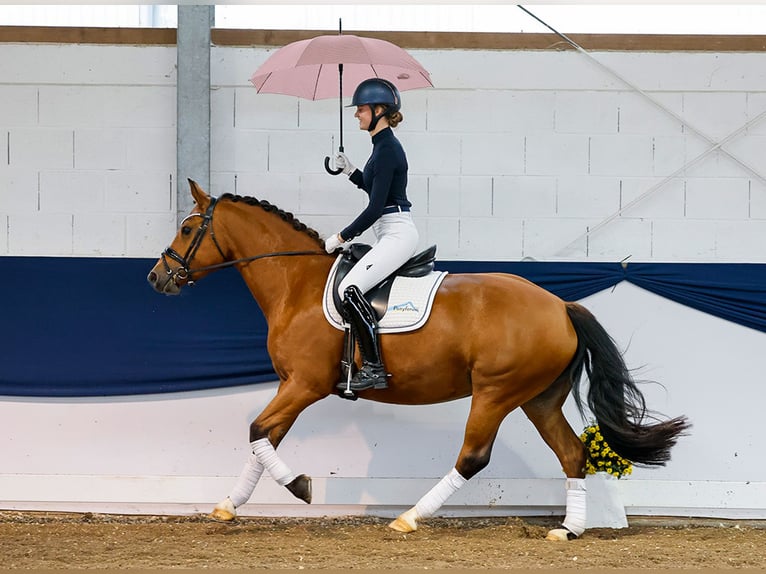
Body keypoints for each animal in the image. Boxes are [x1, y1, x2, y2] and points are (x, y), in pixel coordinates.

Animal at [148, 182, 688, 544]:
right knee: (572, 453)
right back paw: (568, 530)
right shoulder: (290, 386)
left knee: (473, 457)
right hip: (538, 399)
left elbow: (258, 431)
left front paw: (300, 487)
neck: (296, 284)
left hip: (495, 392)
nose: (157, 278)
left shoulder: (305, 384)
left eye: (189, 227)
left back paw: (408, 518)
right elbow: (263, 438)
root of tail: (560, 306)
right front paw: (227, 505)